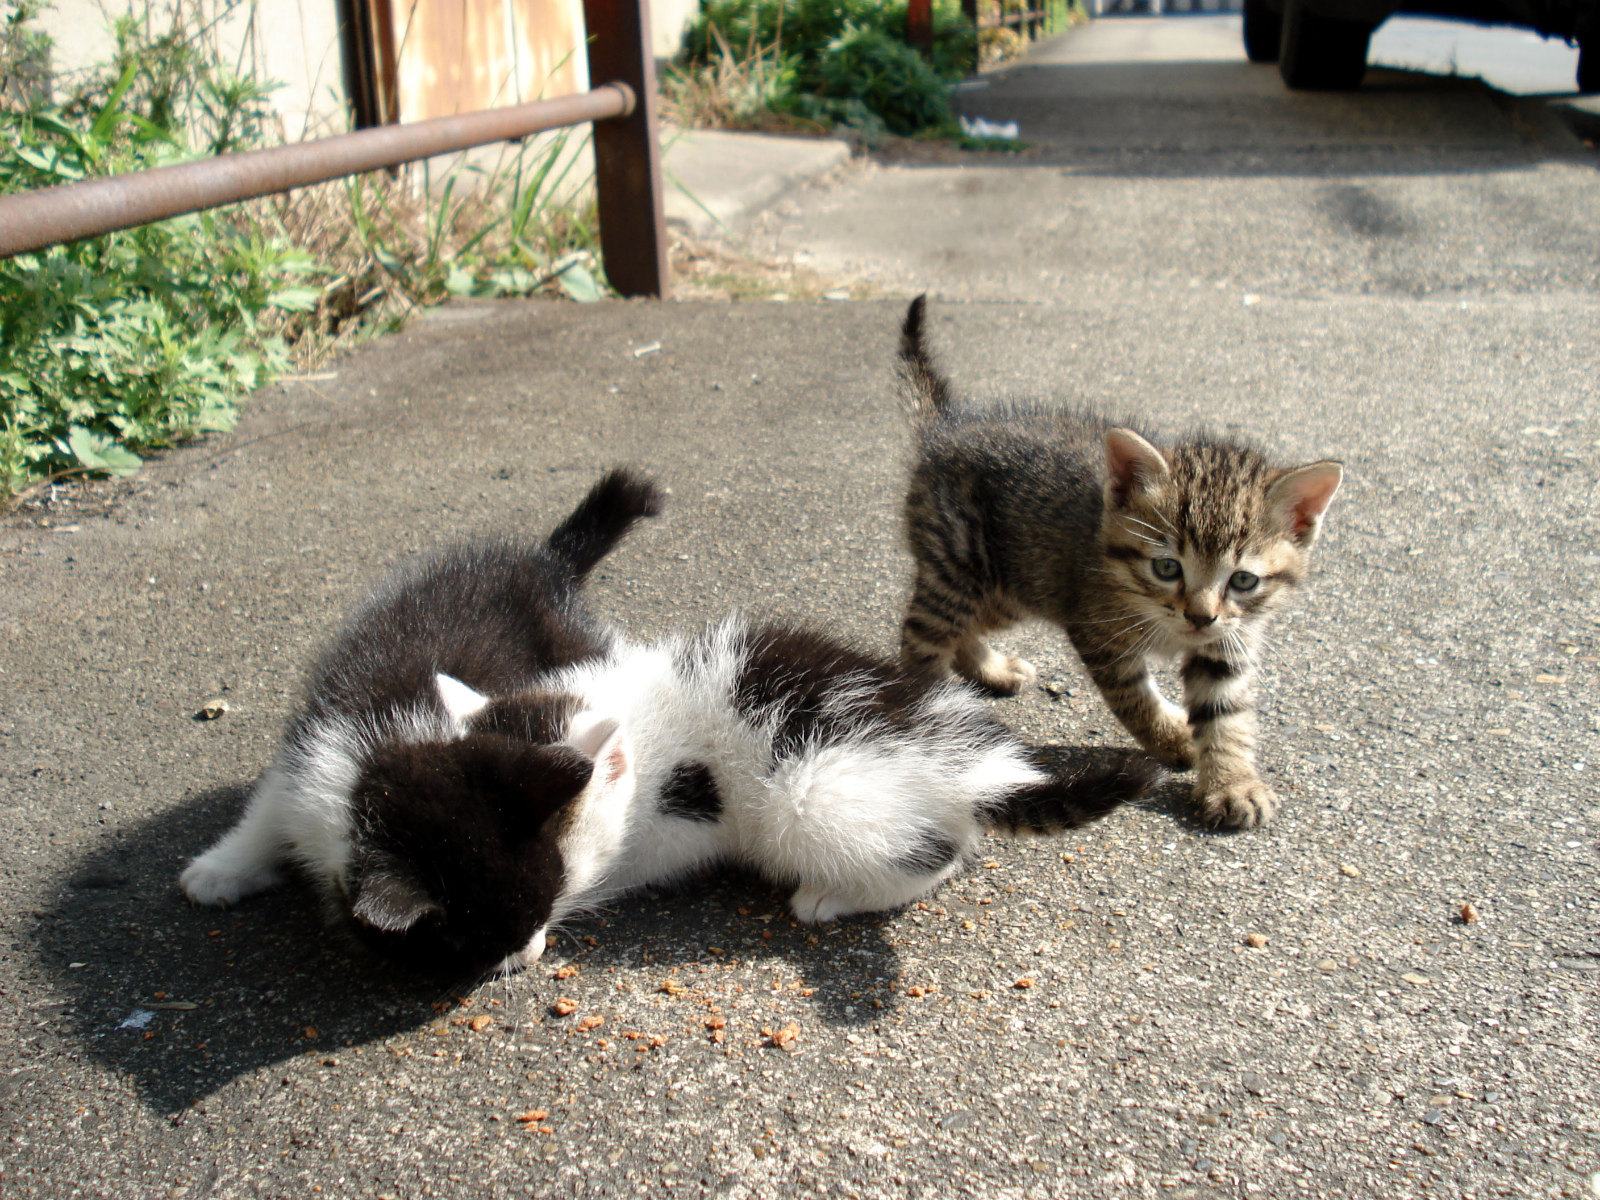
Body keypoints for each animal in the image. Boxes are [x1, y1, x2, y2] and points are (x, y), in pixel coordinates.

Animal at [896, 296, 1344, 832]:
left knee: (967, 625)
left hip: (1017, 583)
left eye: (1243, 579)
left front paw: (1232, 782)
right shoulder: (1098, 631)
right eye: (1167, 568)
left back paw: (991, 669)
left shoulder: (1229, 637)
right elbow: (1134, 700)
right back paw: (934, 710)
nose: (1199, 617)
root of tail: (946, 428)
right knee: (922, 635)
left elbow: (1226, 710)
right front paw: (1173, 739)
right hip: (964, 568)